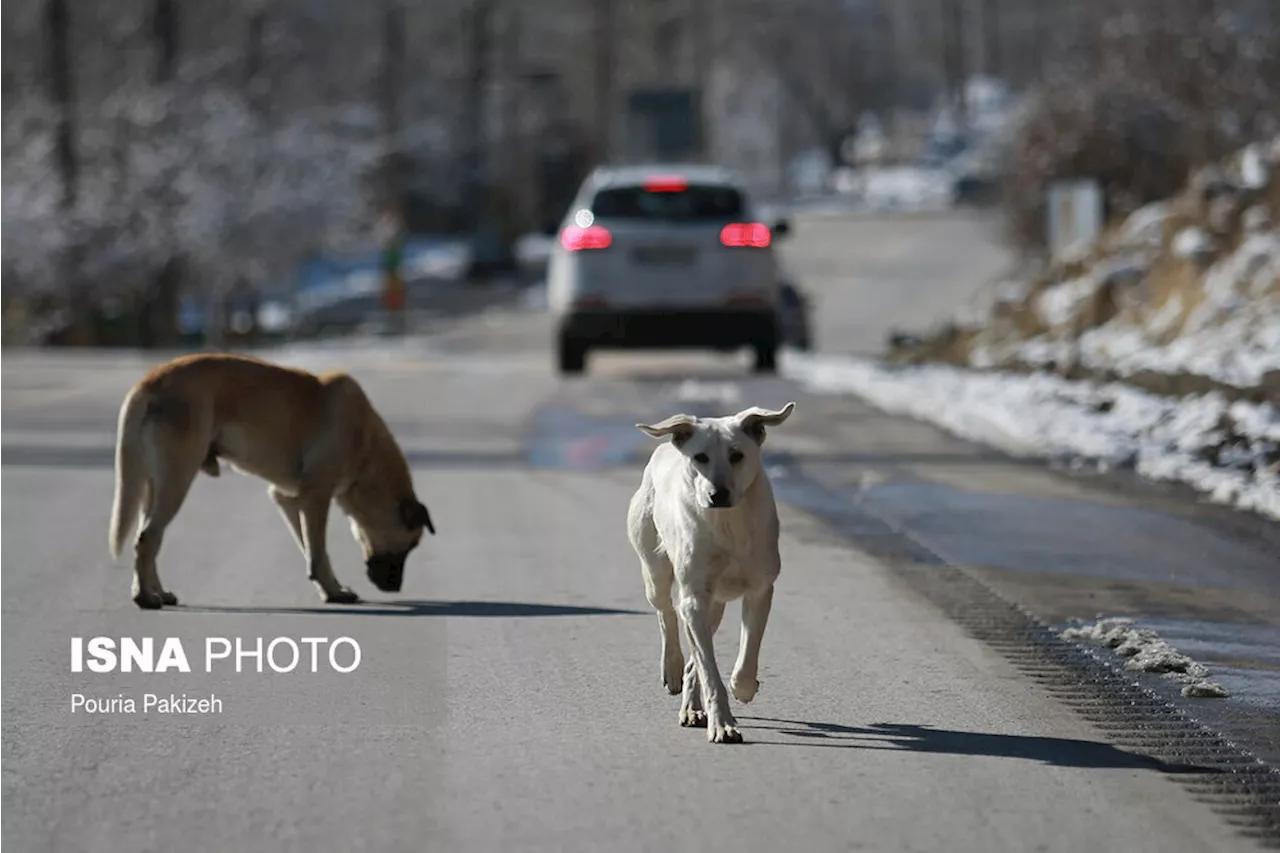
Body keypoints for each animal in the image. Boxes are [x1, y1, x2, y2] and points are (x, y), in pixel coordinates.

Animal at [107, 350, 435, 604]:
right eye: (411, 546)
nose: (395, 588)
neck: (366, 449)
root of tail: (149, 381)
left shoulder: (289, 499)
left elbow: (310, 549)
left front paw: (328, 587)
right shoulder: (316, 496)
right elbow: (318, 550)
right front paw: (334, 592)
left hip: (153, 486)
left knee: (147, 539)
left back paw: (155, 592)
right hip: (177, 479)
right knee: (148, 538)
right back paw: (145, 598)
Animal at [627, 399, 793, 737]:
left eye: (737, 455)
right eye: (700, 457)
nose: (718, 494)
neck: (728, 525)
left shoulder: (760, 589)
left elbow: (748, 650)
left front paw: (743, 687)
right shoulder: (694, 597)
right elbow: (708, 668)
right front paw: (724, 724)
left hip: (714, 604)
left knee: (695, 652)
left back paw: (692, 706)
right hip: (654, 568)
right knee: (667, 612)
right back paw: (673, 668)